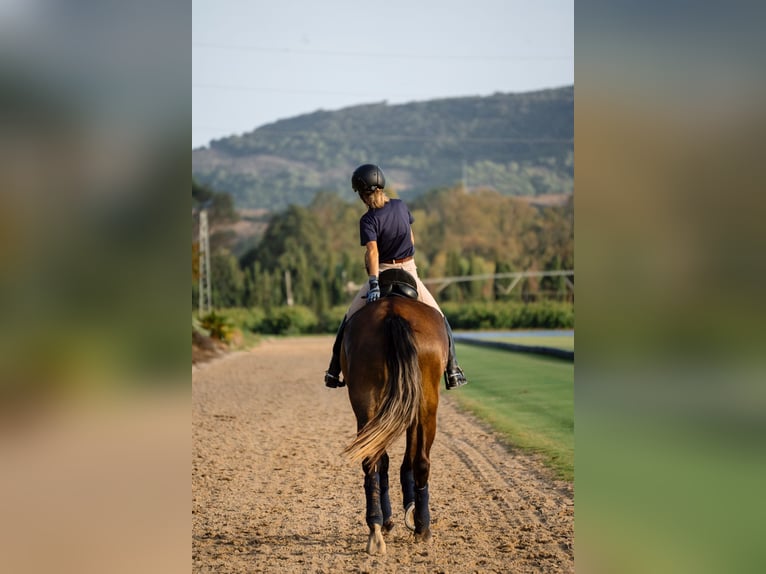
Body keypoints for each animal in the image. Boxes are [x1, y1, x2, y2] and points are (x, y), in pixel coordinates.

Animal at [340, 294, 448, 556]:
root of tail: (394, 313)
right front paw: (409, 511)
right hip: (426, 401)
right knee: (419, 460)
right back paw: (421, 528)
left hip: (367, 400)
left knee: (372, 459)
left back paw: (376, 528)